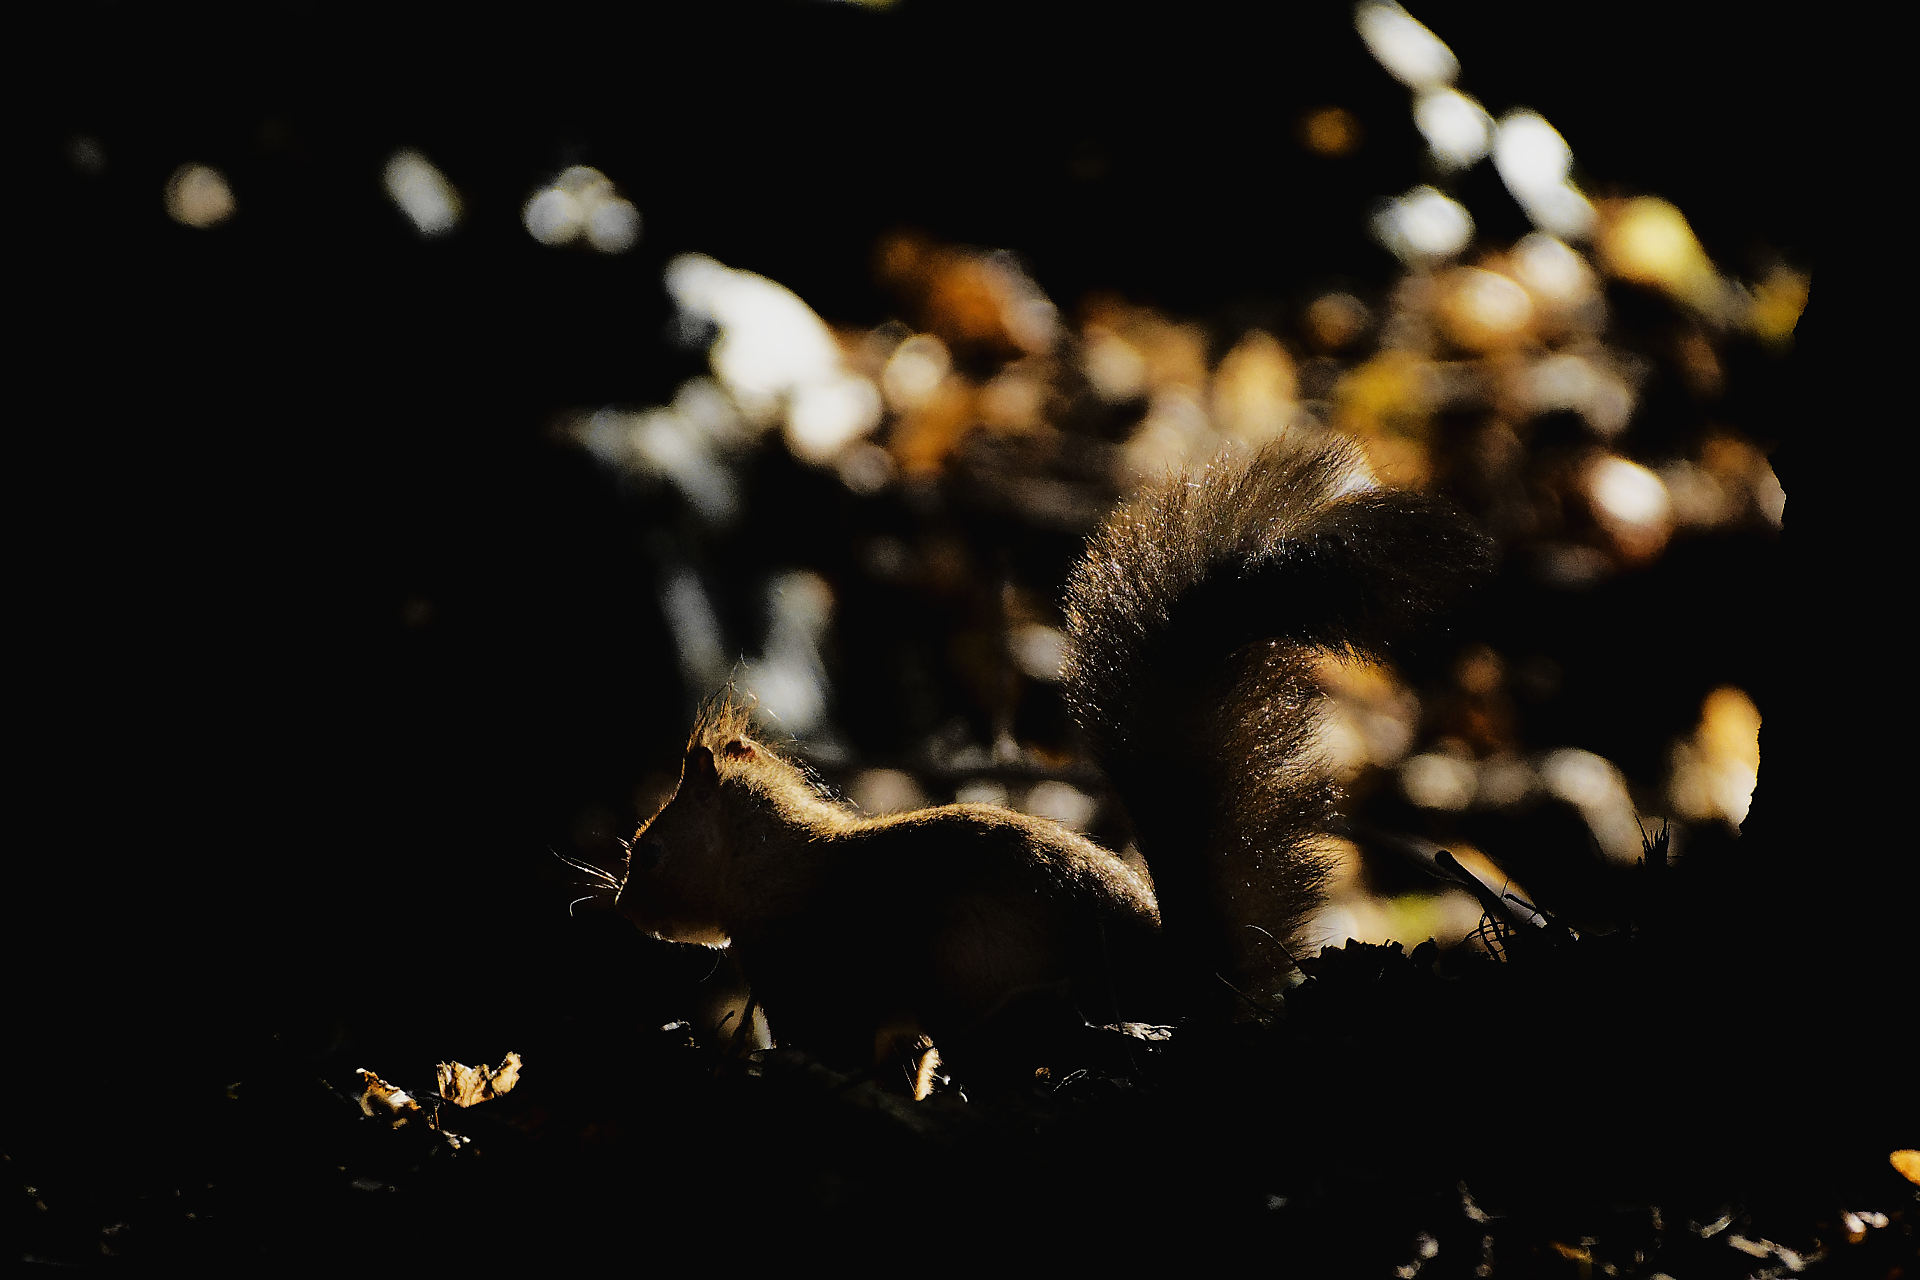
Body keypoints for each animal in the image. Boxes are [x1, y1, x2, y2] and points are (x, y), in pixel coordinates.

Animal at [614, 435, 1491, 1091]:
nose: (622, 910)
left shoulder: (817, 975)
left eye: (647, 852)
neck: (777, 869)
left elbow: (832, 1046)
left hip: (986, 990)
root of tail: (1166, 978)